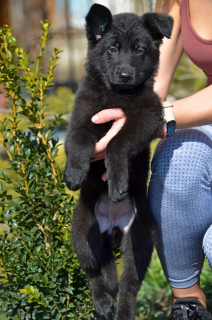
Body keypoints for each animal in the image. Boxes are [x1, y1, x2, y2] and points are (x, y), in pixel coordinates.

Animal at [63, 3, 172, 318]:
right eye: (112, 49)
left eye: (139, 50)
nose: (124, 74)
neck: (116, 94)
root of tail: (111, 225)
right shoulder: (81, 119)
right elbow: (79, 141)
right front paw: (74, 174)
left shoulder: (148, 117)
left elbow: (116, 142)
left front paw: (117, 181)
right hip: (81, 232)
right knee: (94, 271)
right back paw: (102, 302)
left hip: (141, 235)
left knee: (129, 284)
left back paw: (122, 309)